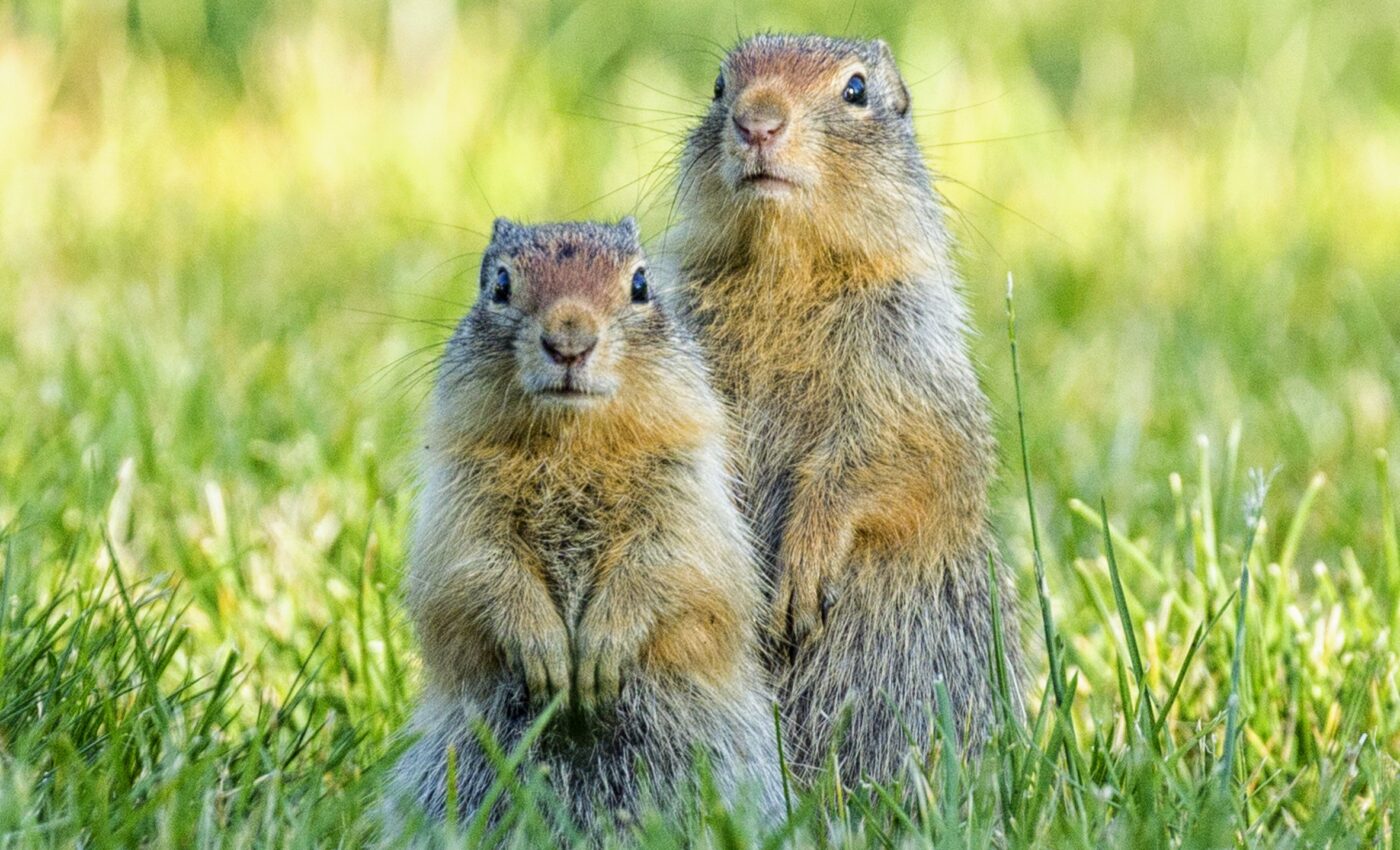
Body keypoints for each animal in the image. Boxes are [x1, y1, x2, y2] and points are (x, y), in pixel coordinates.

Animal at [389, 218, 783, 835]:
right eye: (499, 283)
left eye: (642, 284)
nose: (570, 340)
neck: (571, 444)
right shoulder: (460, 499)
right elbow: (479, 568)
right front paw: (547, 657)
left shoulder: (686, 491)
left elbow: (668, 563)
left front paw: (599, 654)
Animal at [666, 34, 1024, 784]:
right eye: (719, 86)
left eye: (856, 90)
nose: (757, 122)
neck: (787, 270)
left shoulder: (908, 354)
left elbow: (896, 458)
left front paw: (802, 573)